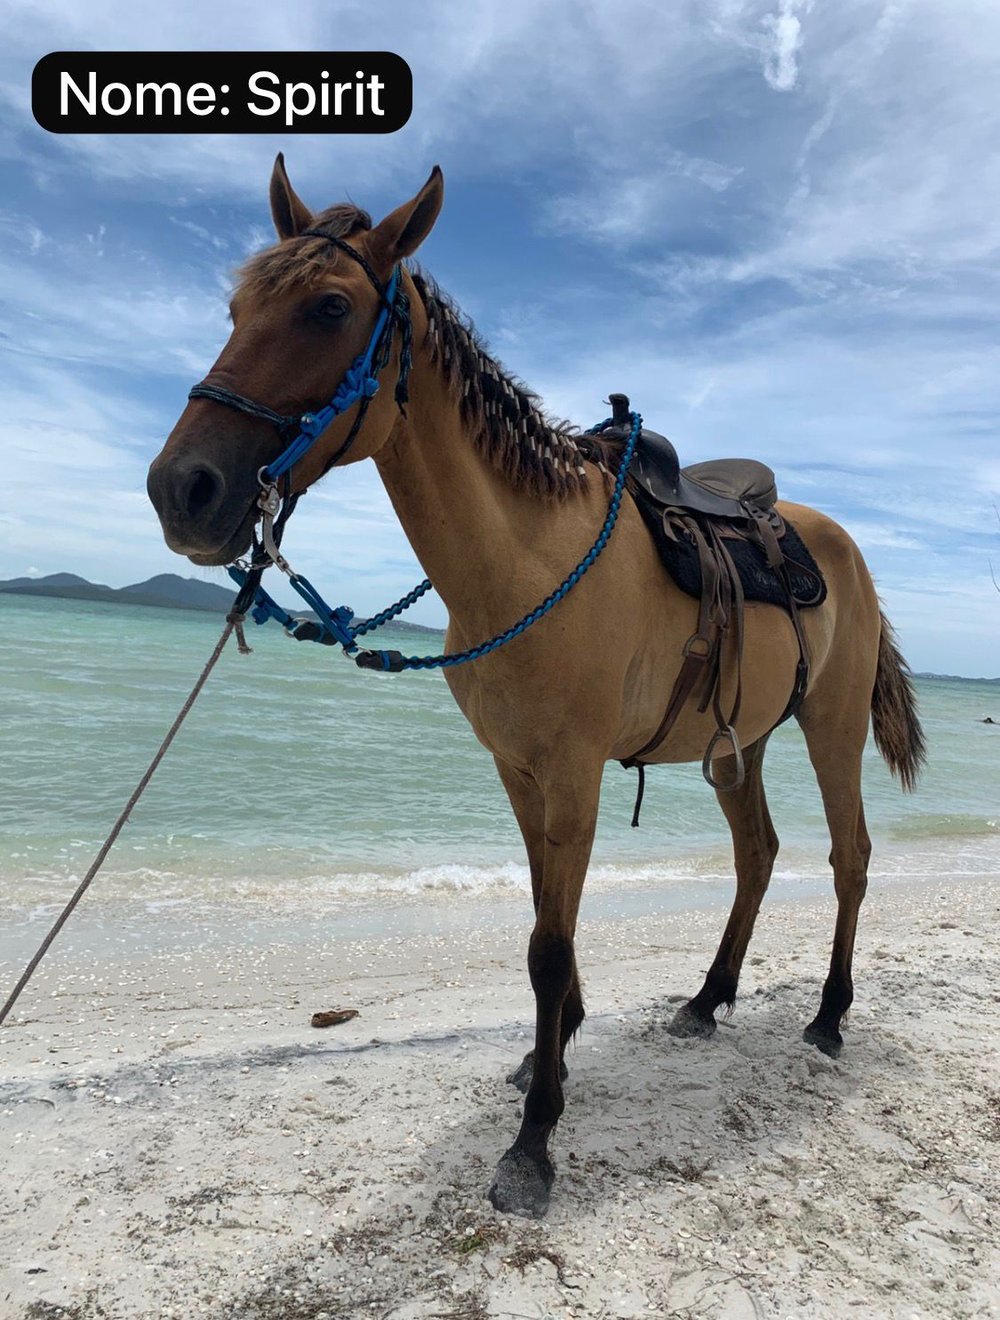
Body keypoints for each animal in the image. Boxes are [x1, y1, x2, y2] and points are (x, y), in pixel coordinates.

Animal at [147, 158, 925, 1219]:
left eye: (330, 306)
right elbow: (538, 918)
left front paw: (535, 1140)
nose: (181, 490)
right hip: (741, 745)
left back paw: (831, 1017)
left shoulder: (574, 776)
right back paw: (705, 999)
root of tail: (842, 545)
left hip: (830, 727)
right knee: (758, 855)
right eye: (234, 308)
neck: (525, 558)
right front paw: (547, 1054)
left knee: (849, 858)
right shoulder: (519, 774)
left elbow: (550, 947)